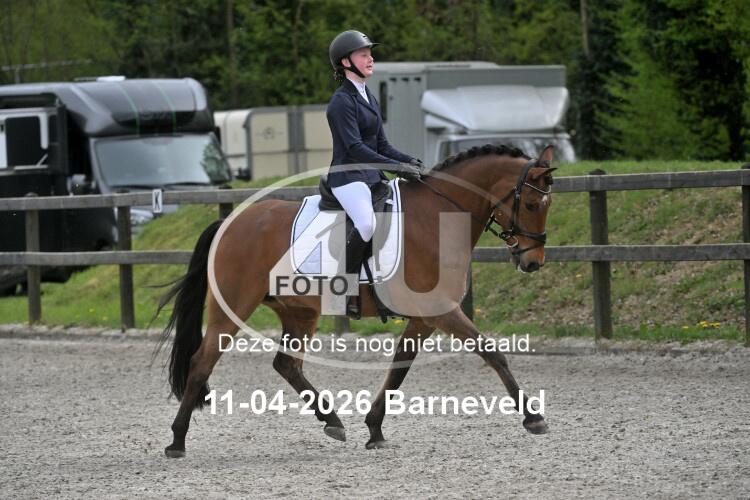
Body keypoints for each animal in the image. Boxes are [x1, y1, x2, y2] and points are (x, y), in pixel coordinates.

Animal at [156, 144, 556, 457]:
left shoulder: (423, 317)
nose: (533, 262)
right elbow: (493, 353)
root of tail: (231, 222)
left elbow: (398, 369)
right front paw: (533, 417)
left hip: (299, 312)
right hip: (233, 307)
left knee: (287, 364)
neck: (437, 218)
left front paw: (375, 429)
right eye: (531, 204)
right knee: (201, 362)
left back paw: (331, 420)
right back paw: (177, 441)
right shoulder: (441, 310)